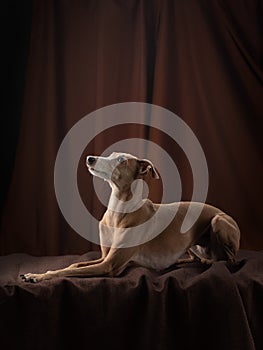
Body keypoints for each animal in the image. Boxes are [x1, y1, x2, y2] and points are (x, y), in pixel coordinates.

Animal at [21, 152, 241, 284]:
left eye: (121, 160)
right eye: (111, 155)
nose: (90, 158)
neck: (118, 212)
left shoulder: (109, 265)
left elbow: (65, 271)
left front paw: (36, 275)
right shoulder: (104, 257)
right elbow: (73, 265)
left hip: (218, 221)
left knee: (230, 261)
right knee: (196, 257)